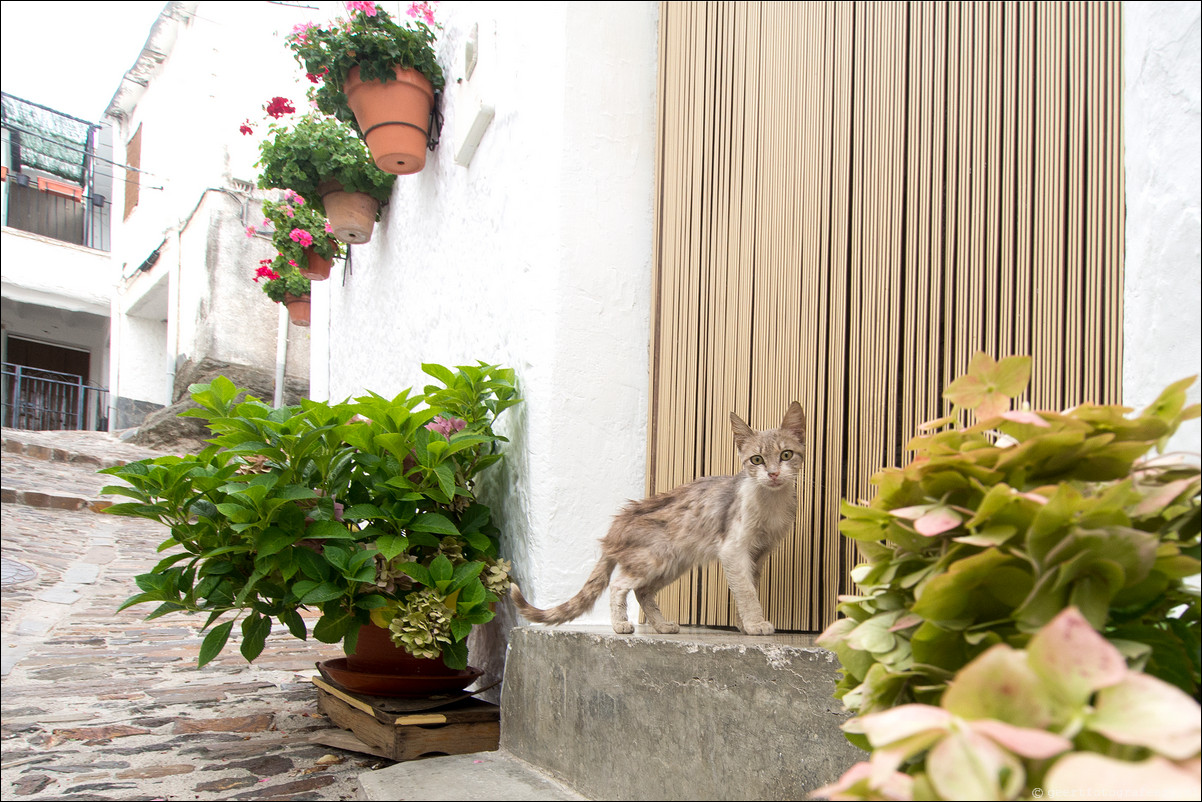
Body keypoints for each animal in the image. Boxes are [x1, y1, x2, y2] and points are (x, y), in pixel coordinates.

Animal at [509, 404, 807, 634]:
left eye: (786, 455)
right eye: (756, 460)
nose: (773, 474)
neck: (771, 503)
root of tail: (618, 522)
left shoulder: (758, 554)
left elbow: (748, 588)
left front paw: (745, 625)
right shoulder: (733, 549)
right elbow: (746, 592)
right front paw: (756, 625)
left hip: (673, 563)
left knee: (642, 592)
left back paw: (662, 626)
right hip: (655, 559)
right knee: (619, 585)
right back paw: (620, 625)